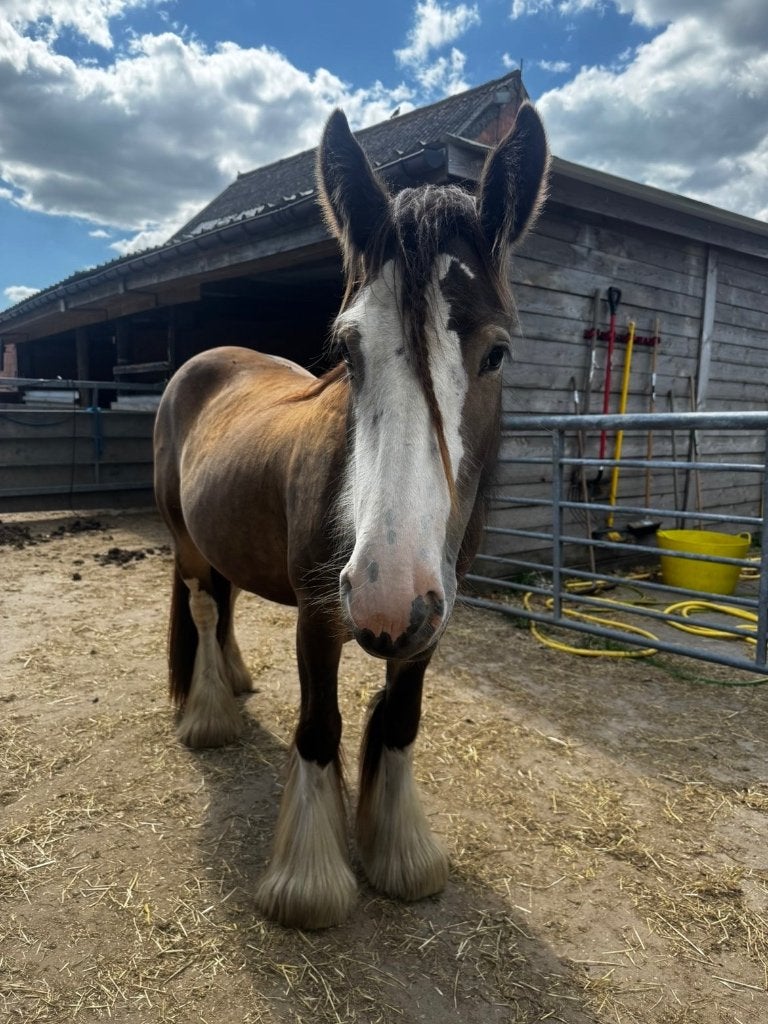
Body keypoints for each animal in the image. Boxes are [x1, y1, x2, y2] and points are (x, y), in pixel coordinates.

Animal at [154, 103, 548, 929]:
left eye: (497, 353)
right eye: (348, 348)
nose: (384, 597)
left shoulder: (432, 620)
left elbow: (398, 725)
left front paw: (401, 855)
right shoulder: (319, 615)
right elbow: (320, 728)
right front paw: (309, 882)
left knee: (226, 606)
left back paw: (234, 680)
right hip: (186, 543)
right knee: (204, 607)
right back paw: (209, 717)